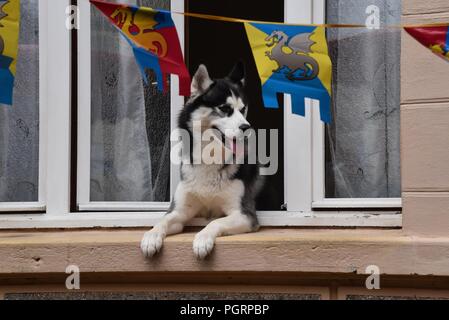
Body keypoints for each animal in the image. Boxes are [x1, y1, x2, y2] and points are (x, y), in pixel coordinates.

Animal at [141, 62, 262, 260]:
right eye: (225, 109)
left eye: (243, 109)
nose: (246, 127)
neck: (210, 158)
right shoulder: (179, 211)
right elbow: (163, 220)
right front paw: (151, 236)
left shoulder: (245, 214)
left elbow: (215, 222)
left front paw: (202, 239)